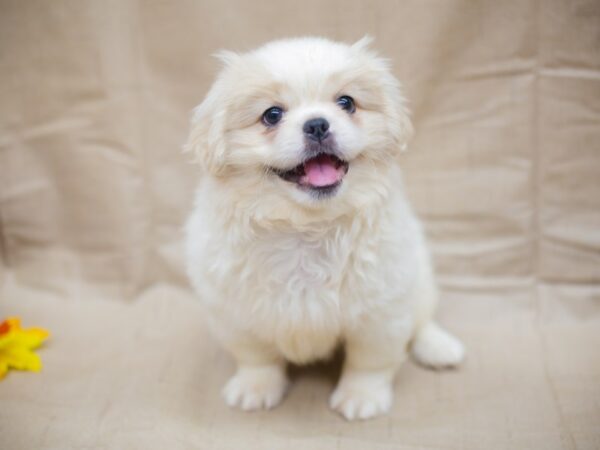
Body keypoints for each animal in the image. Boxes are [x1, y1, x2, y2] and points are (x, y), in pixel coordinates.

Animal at [183, 37, 464, 420]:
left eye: (346, 103)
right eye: (272, 115)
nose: (317, 124)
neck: (306, 228)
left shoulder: (381, 313)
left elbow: (369, 363)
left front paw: (361, 397)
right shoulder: (236, 315)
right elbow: (257, 358)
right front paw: (255, 389)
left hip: (420, 279)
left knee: (422, 320)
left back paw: (439, 347)